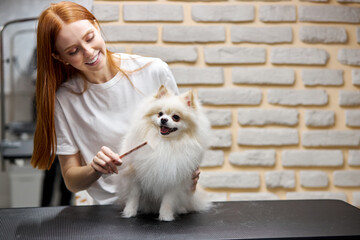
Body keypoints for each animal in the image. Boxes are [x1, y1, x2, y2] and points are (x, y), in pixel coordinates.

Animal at [115, 84, 211, 221]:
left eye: (176, 117)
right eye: (160, 113)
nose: (164, 119)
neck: (164, 143)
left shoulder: (173, 178)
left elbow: (168, 200)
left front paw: (165, 216)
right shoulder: (136, 175)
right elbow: (133, 196)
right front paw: (129, 212)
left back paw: (181, 209)